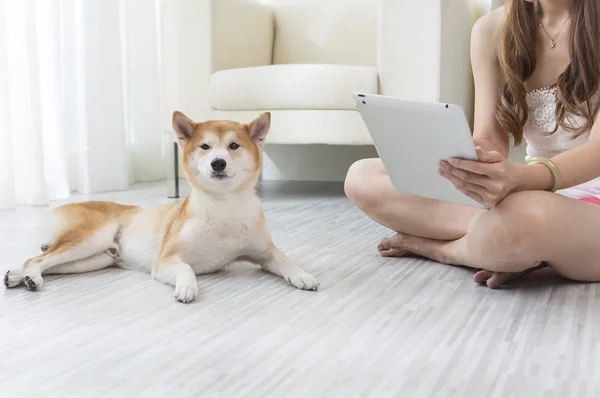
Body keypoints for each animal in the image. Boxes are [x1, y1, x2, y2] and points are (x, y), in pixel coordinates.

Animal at [3, 110, 318, 304]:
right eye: (205, 147)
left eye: (233, 146)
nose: (218, 163)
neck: (223, 209)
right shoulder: (166, 259)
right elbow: (186, 269)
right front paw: (187, 286)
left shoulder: (264, 252)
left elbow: (285, 260)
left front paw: (302, 275)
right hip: (89, 239)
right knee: (35, 259)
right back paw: (29, 276)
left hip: (92, 258)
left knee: (40, 262)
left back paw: (19, 276)